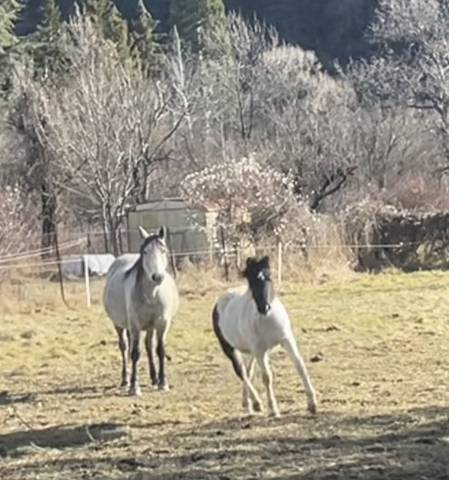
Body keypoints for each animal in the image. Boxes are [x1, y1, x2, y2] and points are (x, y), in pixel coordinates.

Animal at [102, 227, 178, 396]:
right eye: (145, 251)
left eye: (163, 250)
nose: (157, 277)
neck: (152, 294)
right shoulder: (135, 325)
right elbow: (135, 353)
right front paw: (134, 387)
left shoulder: (162, 324)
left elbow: (160, 350)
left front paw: (163, 382)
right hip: (119, 325)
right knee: (125, 347)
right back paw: (125, 380)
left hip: (149, 326)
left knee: (149, 346)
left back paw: (154, 378)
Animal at [212, 255, 316, 416]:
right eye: (251, 281)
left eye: (269, 277)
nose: (264, 307)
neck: (267, 319)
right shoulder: (260, 350)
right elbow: (266, 377)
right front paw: (273, 409)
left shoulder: (286, 340)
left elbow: (300, 366)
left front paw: (312, 404)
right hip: (231, 348)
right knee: (241, 372)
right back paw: (256, 403)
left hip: (251, 351)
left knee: (248, 371)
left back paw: (247, 403)